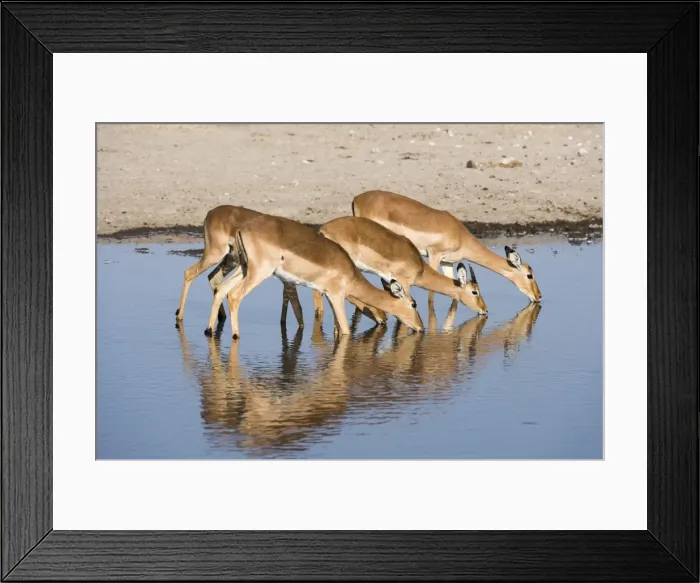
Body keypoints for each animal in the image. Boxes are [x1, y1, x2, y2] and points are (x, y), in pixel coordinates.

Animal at [204, 213, 424, 338]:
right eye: (413, 304)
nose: (421, 328)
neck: (350, 273)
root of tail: (242, 229)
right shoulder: (336, 296)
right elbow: (345, 330)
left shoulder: (329, 296)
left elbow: (337, 329)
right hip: (259, 272)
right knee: (234, 296)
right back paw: (235, 335)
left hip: (243, 268)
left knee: (220, 289)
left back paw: (209, 331)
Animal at [352, 190, 543, 302]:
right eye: (529, 275)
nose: (538, 296)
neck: (460, 235)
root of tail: (357, 198)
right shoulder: (434, 255)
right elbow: (431, 294)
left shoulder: (448, 262)